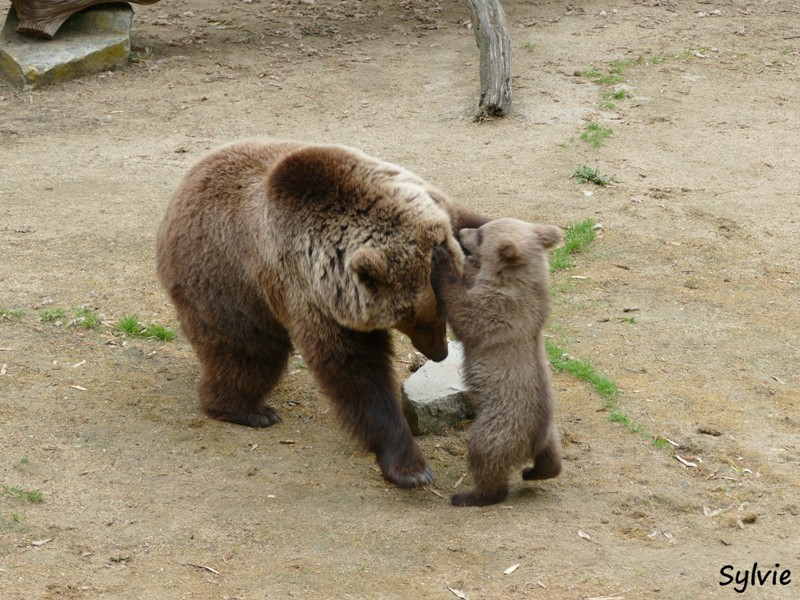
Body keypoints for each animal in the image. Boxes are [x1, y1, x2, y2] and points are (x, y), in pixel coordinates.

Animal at [153, 141, 484, 488]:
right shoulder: (309, 290)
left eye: (440, 312)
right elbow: (355, 373)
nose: (439, 352)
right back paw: (249, 410)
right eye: (414, 318)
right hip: (225, 283)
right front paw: (411, 468)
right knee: (247, 352)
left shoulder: (422, 197)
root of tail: (183, 188)